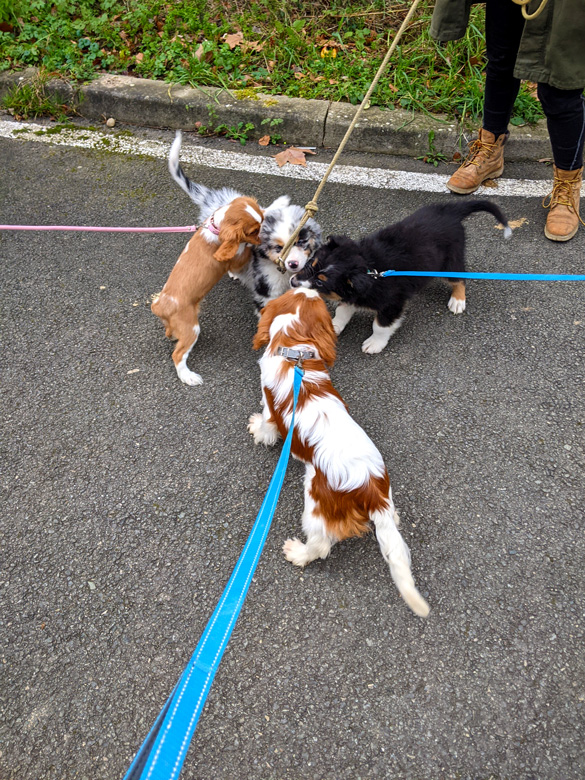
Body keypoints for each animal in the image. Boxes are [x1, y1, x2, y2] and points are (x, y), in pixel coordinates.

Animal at [152, 197, 264, 386]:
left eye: (262, 223)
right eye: (253, 232)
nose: (264, 239)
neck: (214, 227)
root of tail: (161, 305)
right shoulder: (236, 259)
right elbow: (244, 250)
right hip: (191, 328)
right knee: (178, 355)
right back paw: (188, 376)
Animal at [292, 198, 512, 354]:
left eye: (321, 283)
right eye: (311, 264)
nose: (293, 282)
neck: (371, 270)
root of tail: (451, 211)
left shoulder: (392, 303)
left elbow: (380, 325)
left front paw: (375, 343)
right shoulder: (351, 293)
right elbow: (343, 310)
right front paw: (334, 325)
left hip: (450, 260)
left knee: (459, 278)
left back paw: (457, 301)